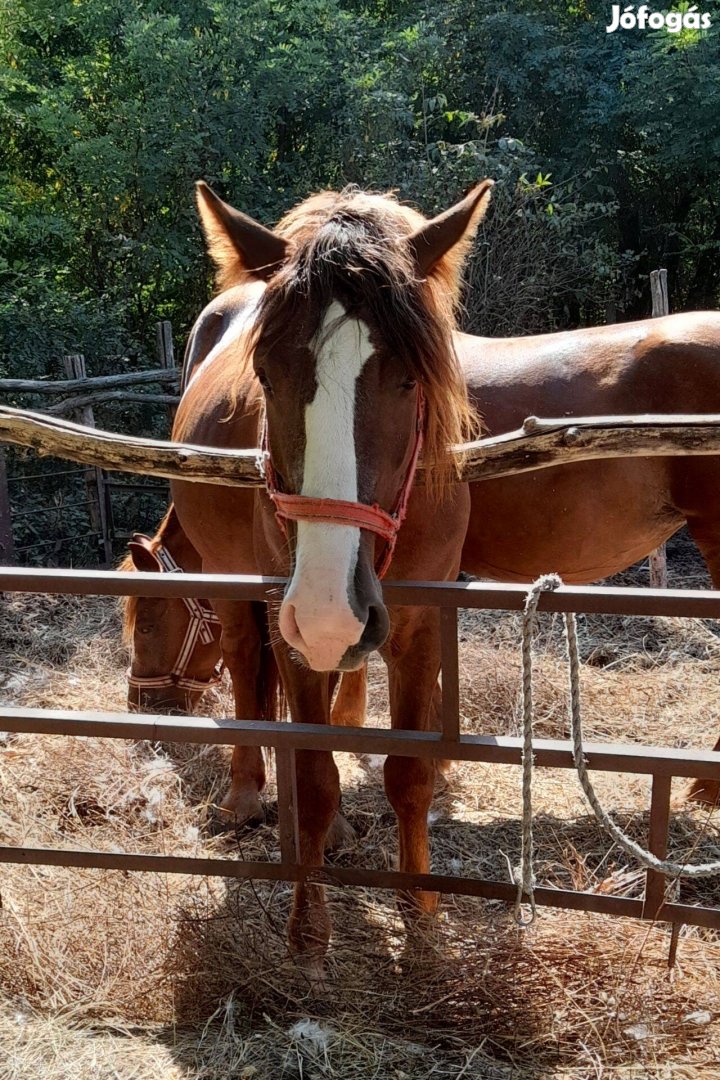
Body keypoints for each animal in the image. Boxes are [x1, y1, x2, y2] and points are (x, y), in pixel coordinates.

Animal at [171, 181, 492, 976]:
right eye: (265, 374)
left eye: (409, 378)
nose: (327, 614)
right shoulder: (293, 626)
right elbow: (313, 778)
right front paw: (309, 933)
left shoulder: (420, 625)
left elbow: (411, 777)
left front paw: (423, 920)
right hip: (242, 587)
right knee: (250, 672)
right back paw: (246, 795)